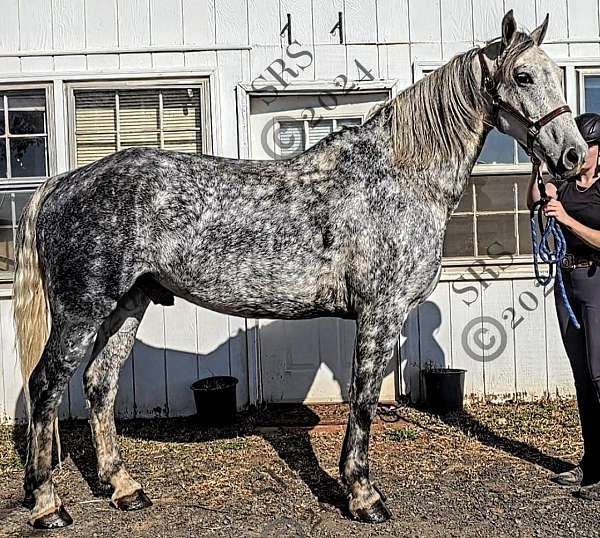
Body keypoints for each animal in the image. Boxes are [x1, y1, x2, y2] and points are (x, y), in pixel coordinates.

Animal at [14, 9, 584, 528]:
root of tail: (62, 182)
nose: (574, 156)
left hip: (127, 305)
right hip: (82, 312)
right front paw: (364, 497)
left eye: (556, 73)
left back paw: (124, 488)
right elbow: (363, 398)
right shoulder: (380, 312)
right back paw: (47, 504)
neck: (399, 177)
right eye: (523, 76)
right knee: (46, 385)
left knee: (100, 385)